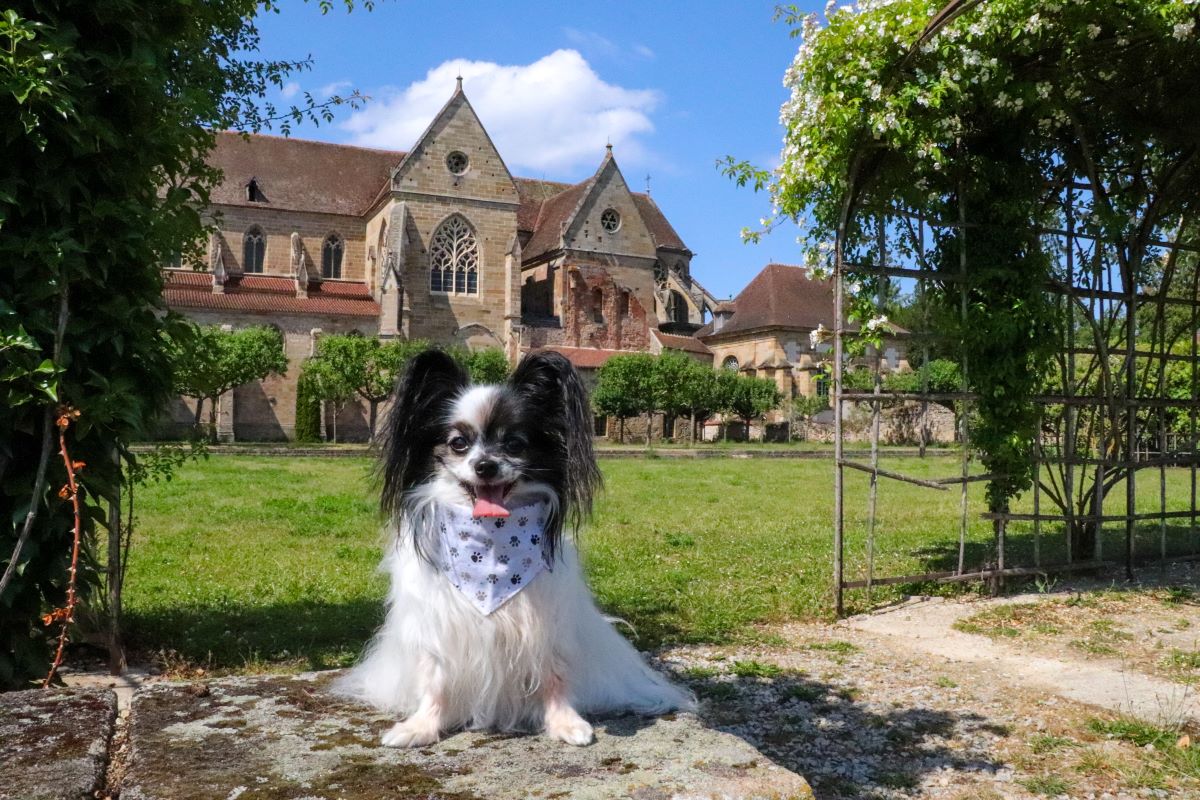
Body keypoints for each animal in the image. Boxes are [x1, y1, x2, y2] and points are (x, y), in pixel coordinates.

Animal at [336, 352, 696, 753]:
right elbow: (436, 679)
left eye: (514, 444)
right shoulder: (440, 625)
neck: (492, 546)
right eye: (458, 443)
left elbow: (554, 674)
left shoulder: (547, 623)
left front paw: (565, 722)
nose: (485, 465)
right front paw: (421, 726)